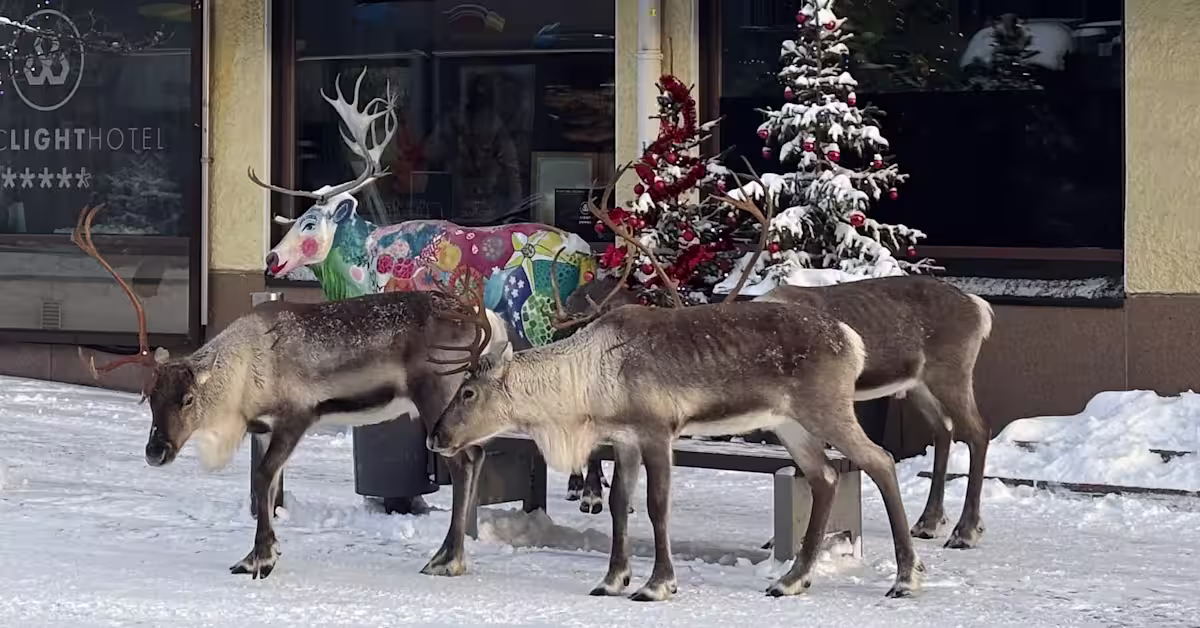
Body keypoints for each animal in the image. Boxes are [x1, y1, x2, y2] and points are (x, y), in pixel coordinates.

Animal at [425, 164, 925, 601]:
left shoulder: (657, 429)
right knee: (824, 476)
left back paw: (905, 577)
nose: (435, 438)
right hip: (789, 422)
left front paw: (657, 584)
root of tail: (851, 339)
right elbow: (618, 503)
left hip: (825, 407)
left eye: (468, 391)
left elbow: (656, 505)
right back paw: (791, 580)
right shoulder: (624, 438)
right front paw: (613, 579)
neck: (585, 384)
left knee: (879, 460)